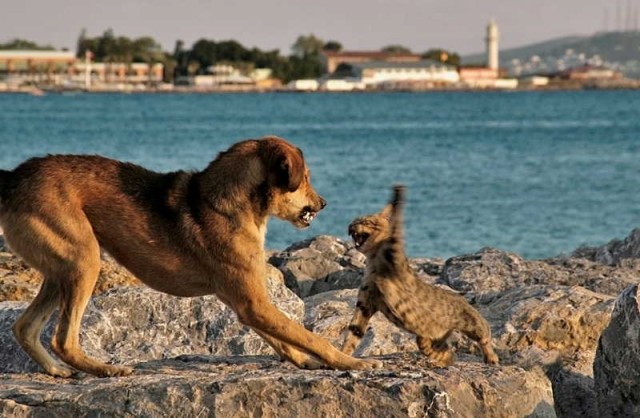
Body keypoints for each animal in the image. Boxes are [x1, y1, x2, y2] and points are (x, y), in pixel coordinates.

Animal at [0, 136, 380, 378]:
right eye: (306, 178)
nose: (323, 203)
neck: (229, 204)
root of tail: (13, 178)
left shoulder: (244, 303)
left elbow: (283, 339)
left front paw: (304, 362)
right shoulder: (254, 303)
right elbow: (309, 336)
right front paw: (350, 363)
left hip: (60, 271)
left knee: (24, 327)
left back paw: (56, 370)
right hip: (84, 261)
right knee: (62, 339)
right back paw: (105, 369)